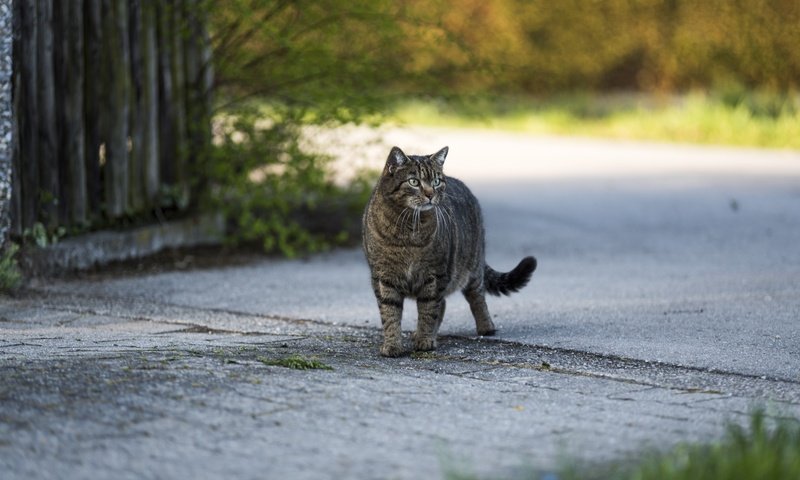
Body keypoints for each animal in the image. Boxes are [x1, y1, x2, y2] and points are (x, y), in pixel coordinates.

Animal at [362, 146, 536, 356]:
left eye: (436, 181)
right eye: (414, 182)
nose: (430, 194)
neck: (409, 229)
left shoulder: (434, 275)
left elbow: (428, 310)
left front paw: (425, 340)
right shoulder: (384, 278)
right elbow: (390, 313)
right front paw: (392, 345)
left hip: (472, 268)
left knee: (476, 297)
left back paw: (486, 327)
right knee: (444, 303)